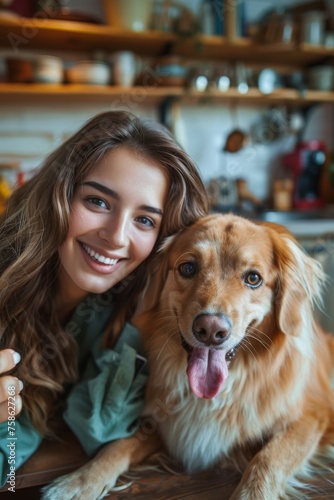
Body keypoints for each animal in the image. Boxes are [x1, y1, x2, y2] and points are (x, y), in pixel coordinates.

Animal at [42, 215, 334, 500]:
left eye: (253, 278)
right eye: (188, 268)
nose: (211, 330)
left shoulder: (313, 416)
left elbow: (268, 459)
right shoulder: (168, 427)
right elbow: (118, 445)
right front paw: (78, 482)